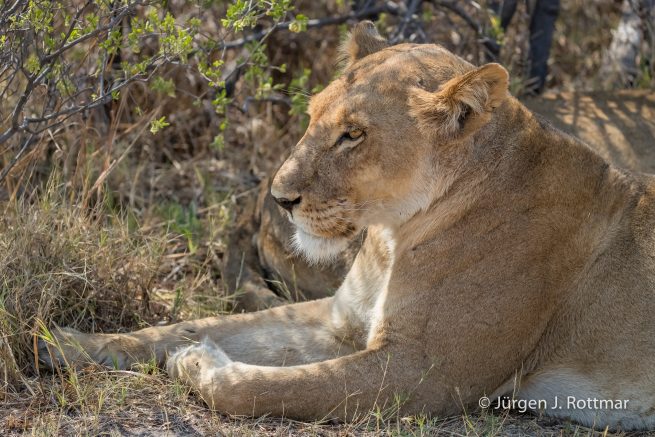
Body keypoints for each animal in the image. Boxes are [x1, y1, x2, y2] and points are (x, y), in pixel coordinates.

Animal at [40, 22, 655, 430]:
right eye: (313, 116)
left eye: (353, 135)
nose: (280, 197)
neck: (393, 235)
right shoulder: (341, 323)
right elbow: (188, 325)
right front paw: (63, 343)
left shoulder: (426, 374)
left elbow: (282, 389)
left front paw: (201, 366)